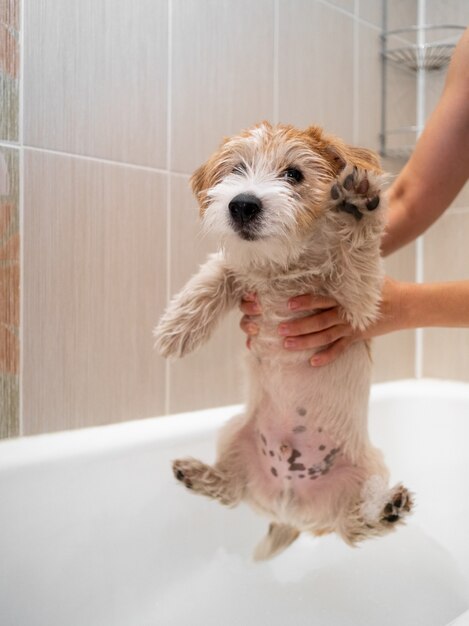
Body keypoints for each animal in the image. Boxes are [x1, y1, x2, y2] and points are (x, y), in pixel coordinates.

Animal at [155, 120, 412, 556]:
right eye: (236, 169)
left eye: (293, 174)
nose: (242, 204)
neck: (283, 264)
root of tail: (288, 507)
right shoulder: (238, 267)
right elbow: (213, 274)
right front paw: (176, 330)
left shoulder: (359, 307)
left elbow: (357, 255)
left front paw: (361, 203)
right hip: (234, 434)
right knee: (231, 491)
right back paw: (195, 473)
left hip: (367, 469)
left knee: (351, 528)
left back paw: (385, 511)